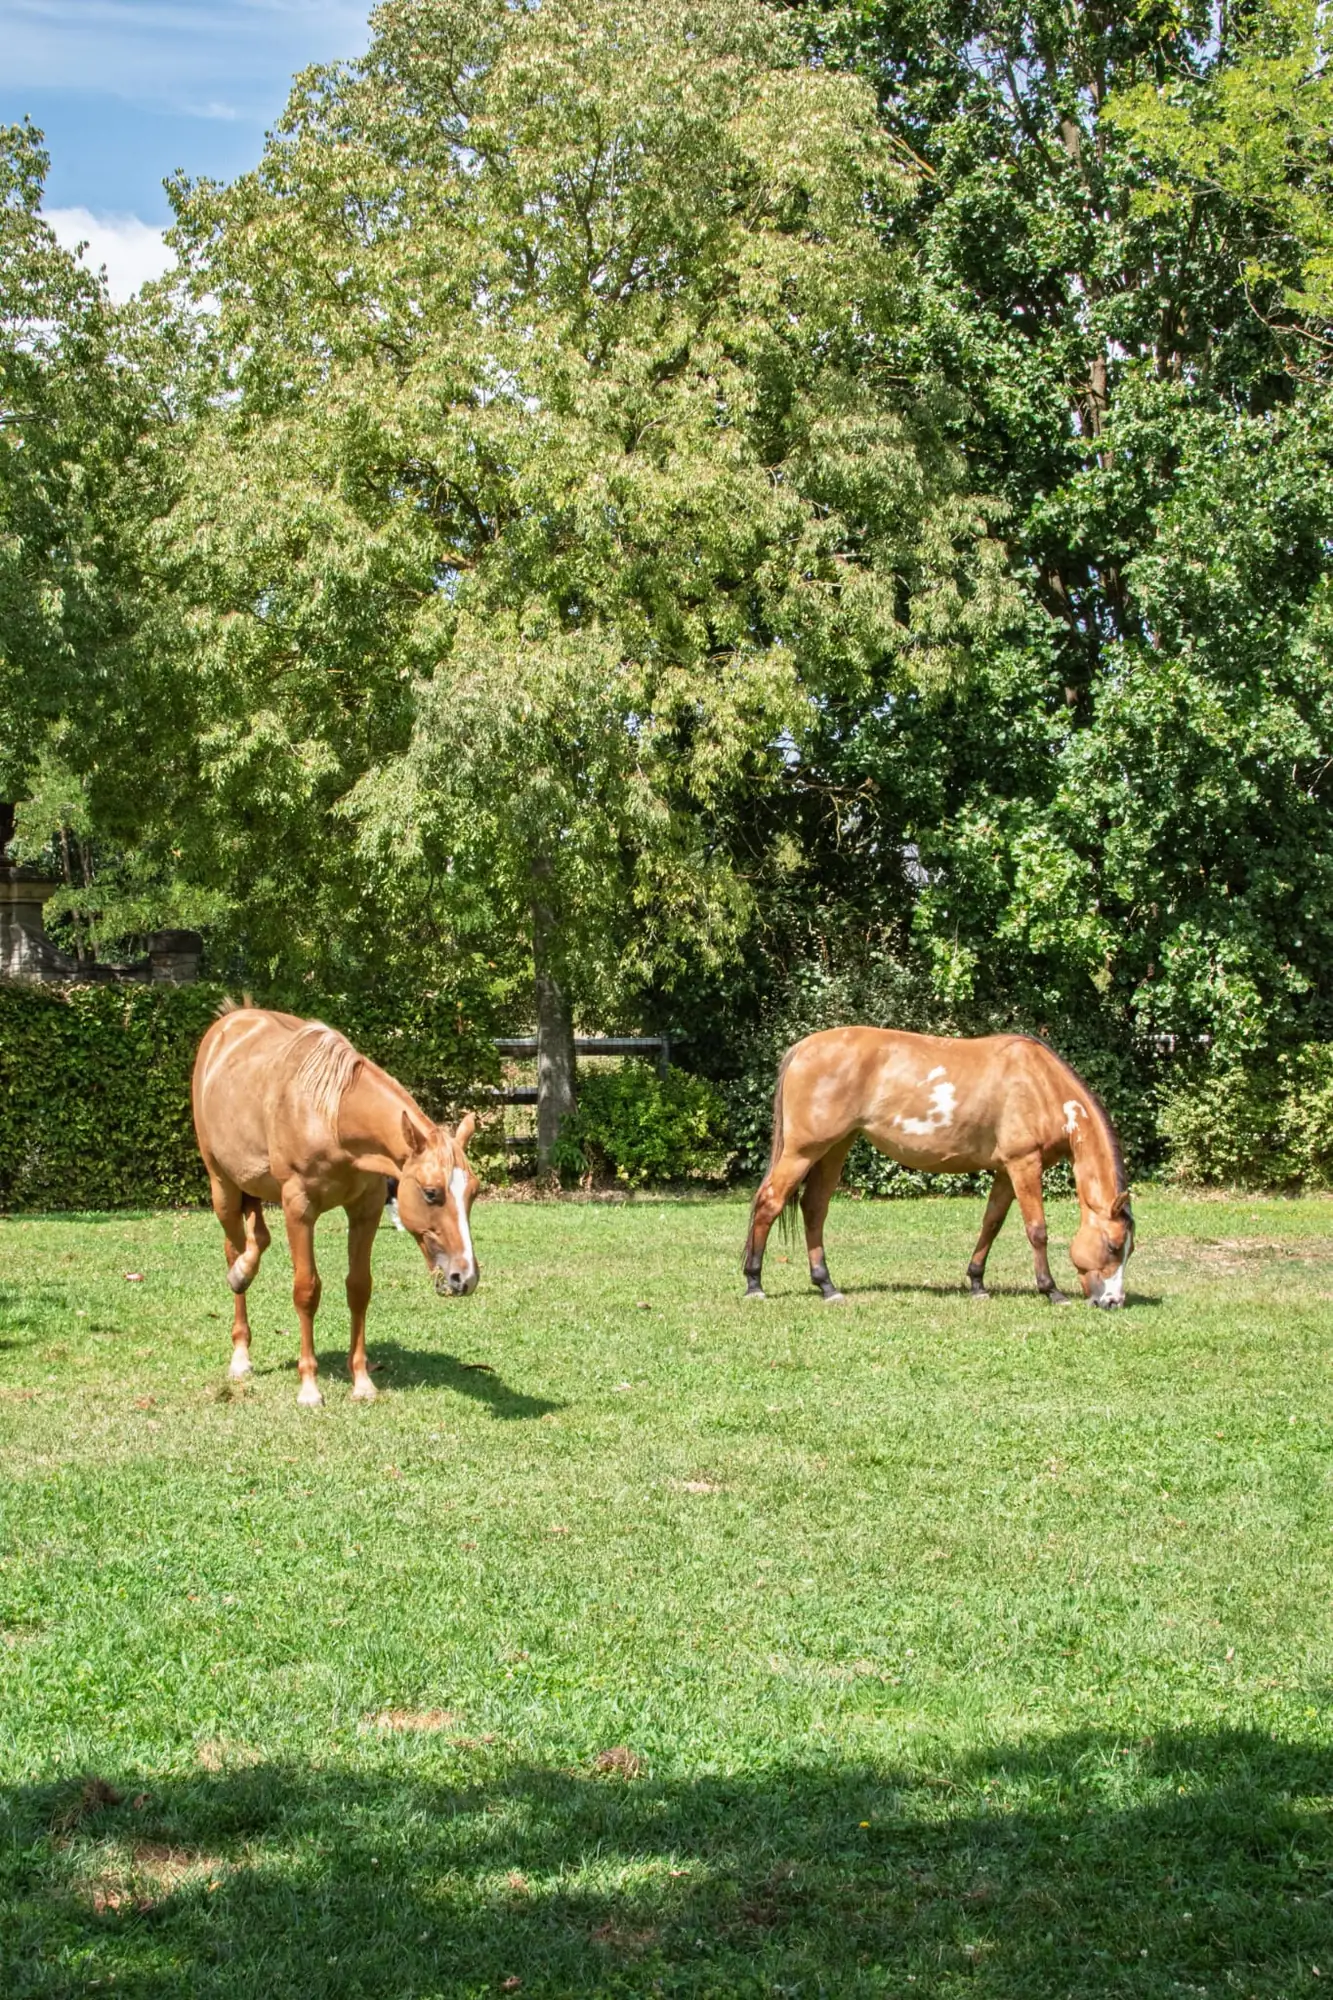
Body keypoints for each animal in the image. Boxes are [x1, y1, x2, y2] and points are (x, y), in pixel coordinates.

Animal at [192, 1005, 480, 1406]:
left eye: (474, 1193)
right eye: (431, 1192)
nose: (465, 1277)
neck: (331, 1118)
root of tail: (231, 1020)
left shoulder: (366, 1210)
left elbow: (359, 1288)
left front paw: (362, 1381)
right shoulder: (299, 1209)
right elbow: (306, 1291)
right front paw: (309, 1387)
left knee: (257, 1238)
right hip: (223, 1186)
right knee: (233, 1248)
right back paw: (240, 1350)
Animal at [743, 1028, 1133, 1308]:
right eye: (1113, 1246)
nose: (1113, 1301)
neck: (1041, 1085)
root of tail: (802, 1048)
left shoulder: (1005, 1172)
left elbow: (991, 1223)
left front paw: (977, 1283)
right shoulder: (1024, 1164)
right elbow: (1037, 1230)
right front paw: (1051, 1291)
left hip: (835, 1148)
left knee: (814, 1209)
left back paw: (826, 1285)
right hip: (802, 1151)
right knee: (769, 1203)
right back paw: (754, 1283)